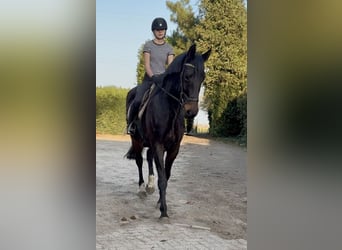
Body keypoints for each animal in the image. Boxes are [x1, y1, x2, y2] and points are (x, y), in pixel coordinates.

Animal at [125, 44, 211, 218]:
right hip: (136, 140)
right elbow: (162, 178)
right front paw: (163, 210)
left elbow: (167, 175)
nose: (191, 111)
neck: (170, 107)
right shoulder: (158, 144)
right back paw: (142, 188)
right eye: (187, 76)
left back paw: (150, 186)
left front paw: (159, 202)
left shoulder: (173, 148)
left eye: (203, 77)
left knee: (148, 157)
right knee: (139, 160)